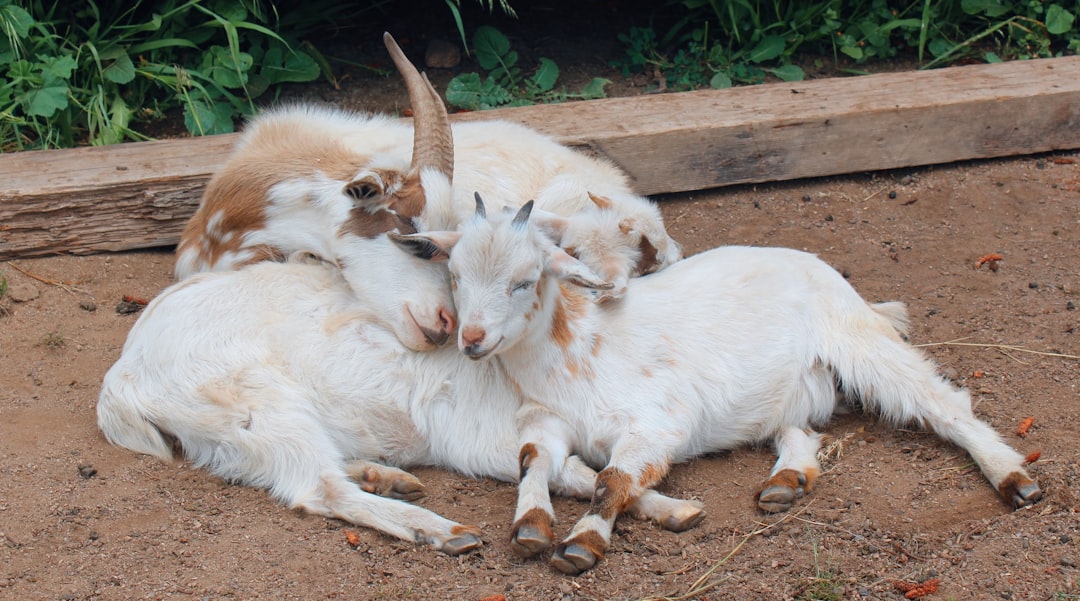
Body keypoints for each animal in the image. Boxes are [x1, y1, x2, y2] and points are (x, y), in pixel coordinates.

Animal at [99, 256, 699, 557]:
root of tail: (124, 375)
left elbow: (597, 472)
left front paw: (672, 509)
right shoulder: (483, 435)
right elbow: (572, 470)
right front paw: (668, 506)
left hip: (234, 437)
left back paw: (385, 475)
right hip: (260, 407)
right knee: (319, 488)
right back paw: (441, 531)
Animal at [397, 195, 1045, 570]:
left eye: (526, 280)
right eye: (454, 275)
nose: (472, 339)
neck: (575, 351)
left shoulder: (658, 421)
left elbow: (612, 478)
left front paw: (582, 543)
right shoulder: (544, 418)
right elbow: (534, 461)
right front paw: (532, 525)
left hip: (858, 339)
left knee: (942, 402)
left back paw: (1015, 479)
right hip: (789, 391)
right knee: (799, 429)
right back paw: (785, 481)